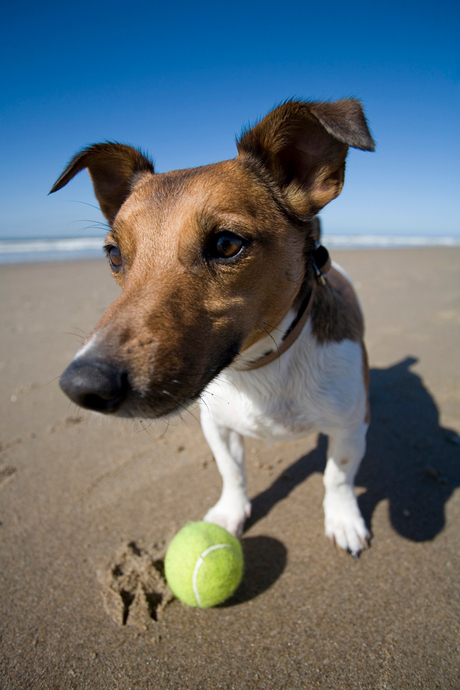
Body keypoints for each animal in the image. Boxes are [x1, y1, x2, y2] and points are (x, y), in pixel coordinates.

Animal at [51, 99, 374, 556]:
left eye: (226, 244)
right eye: (114, 254)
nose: (83, 384)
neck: (262, 366)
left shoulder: (351, 425)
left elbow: (338, 476)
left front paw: (343, 519)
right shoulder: (218, 428)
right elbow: (232, 472)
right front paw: (229, 515)